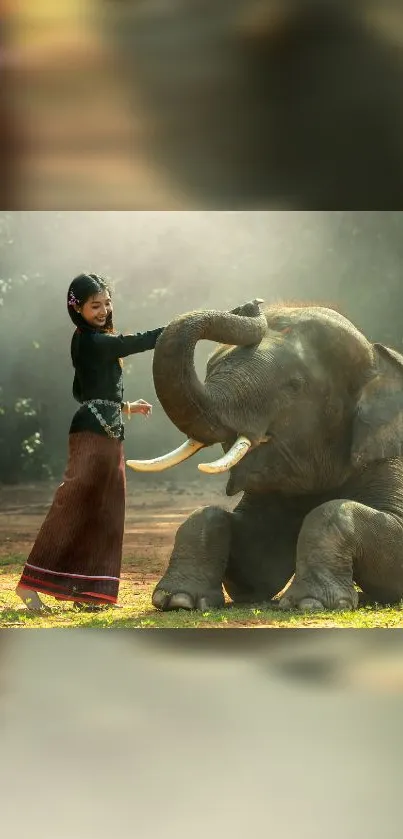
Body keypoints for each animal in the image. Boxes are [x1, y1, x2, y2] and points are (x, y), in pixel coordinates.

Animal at [126, 300, 403, 612]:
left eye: (295, 385)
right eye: (210, 368)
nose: (252, 303)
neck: (378, 360)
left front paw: (310, 603)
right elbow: (258, 568)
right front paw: (180, 600)